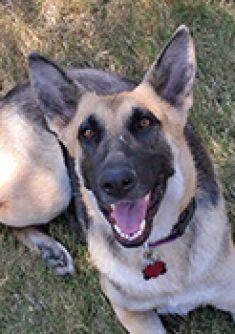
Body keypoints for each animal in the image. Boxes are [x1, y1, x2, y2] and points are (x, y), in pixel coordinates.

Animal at [1, 25, 235, 332]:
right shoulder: (132, 312)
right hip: (52, 190)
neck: (157, 245)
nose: (115, 183)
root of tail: (13, 91)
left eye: (145, 123)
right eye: (87, 133)